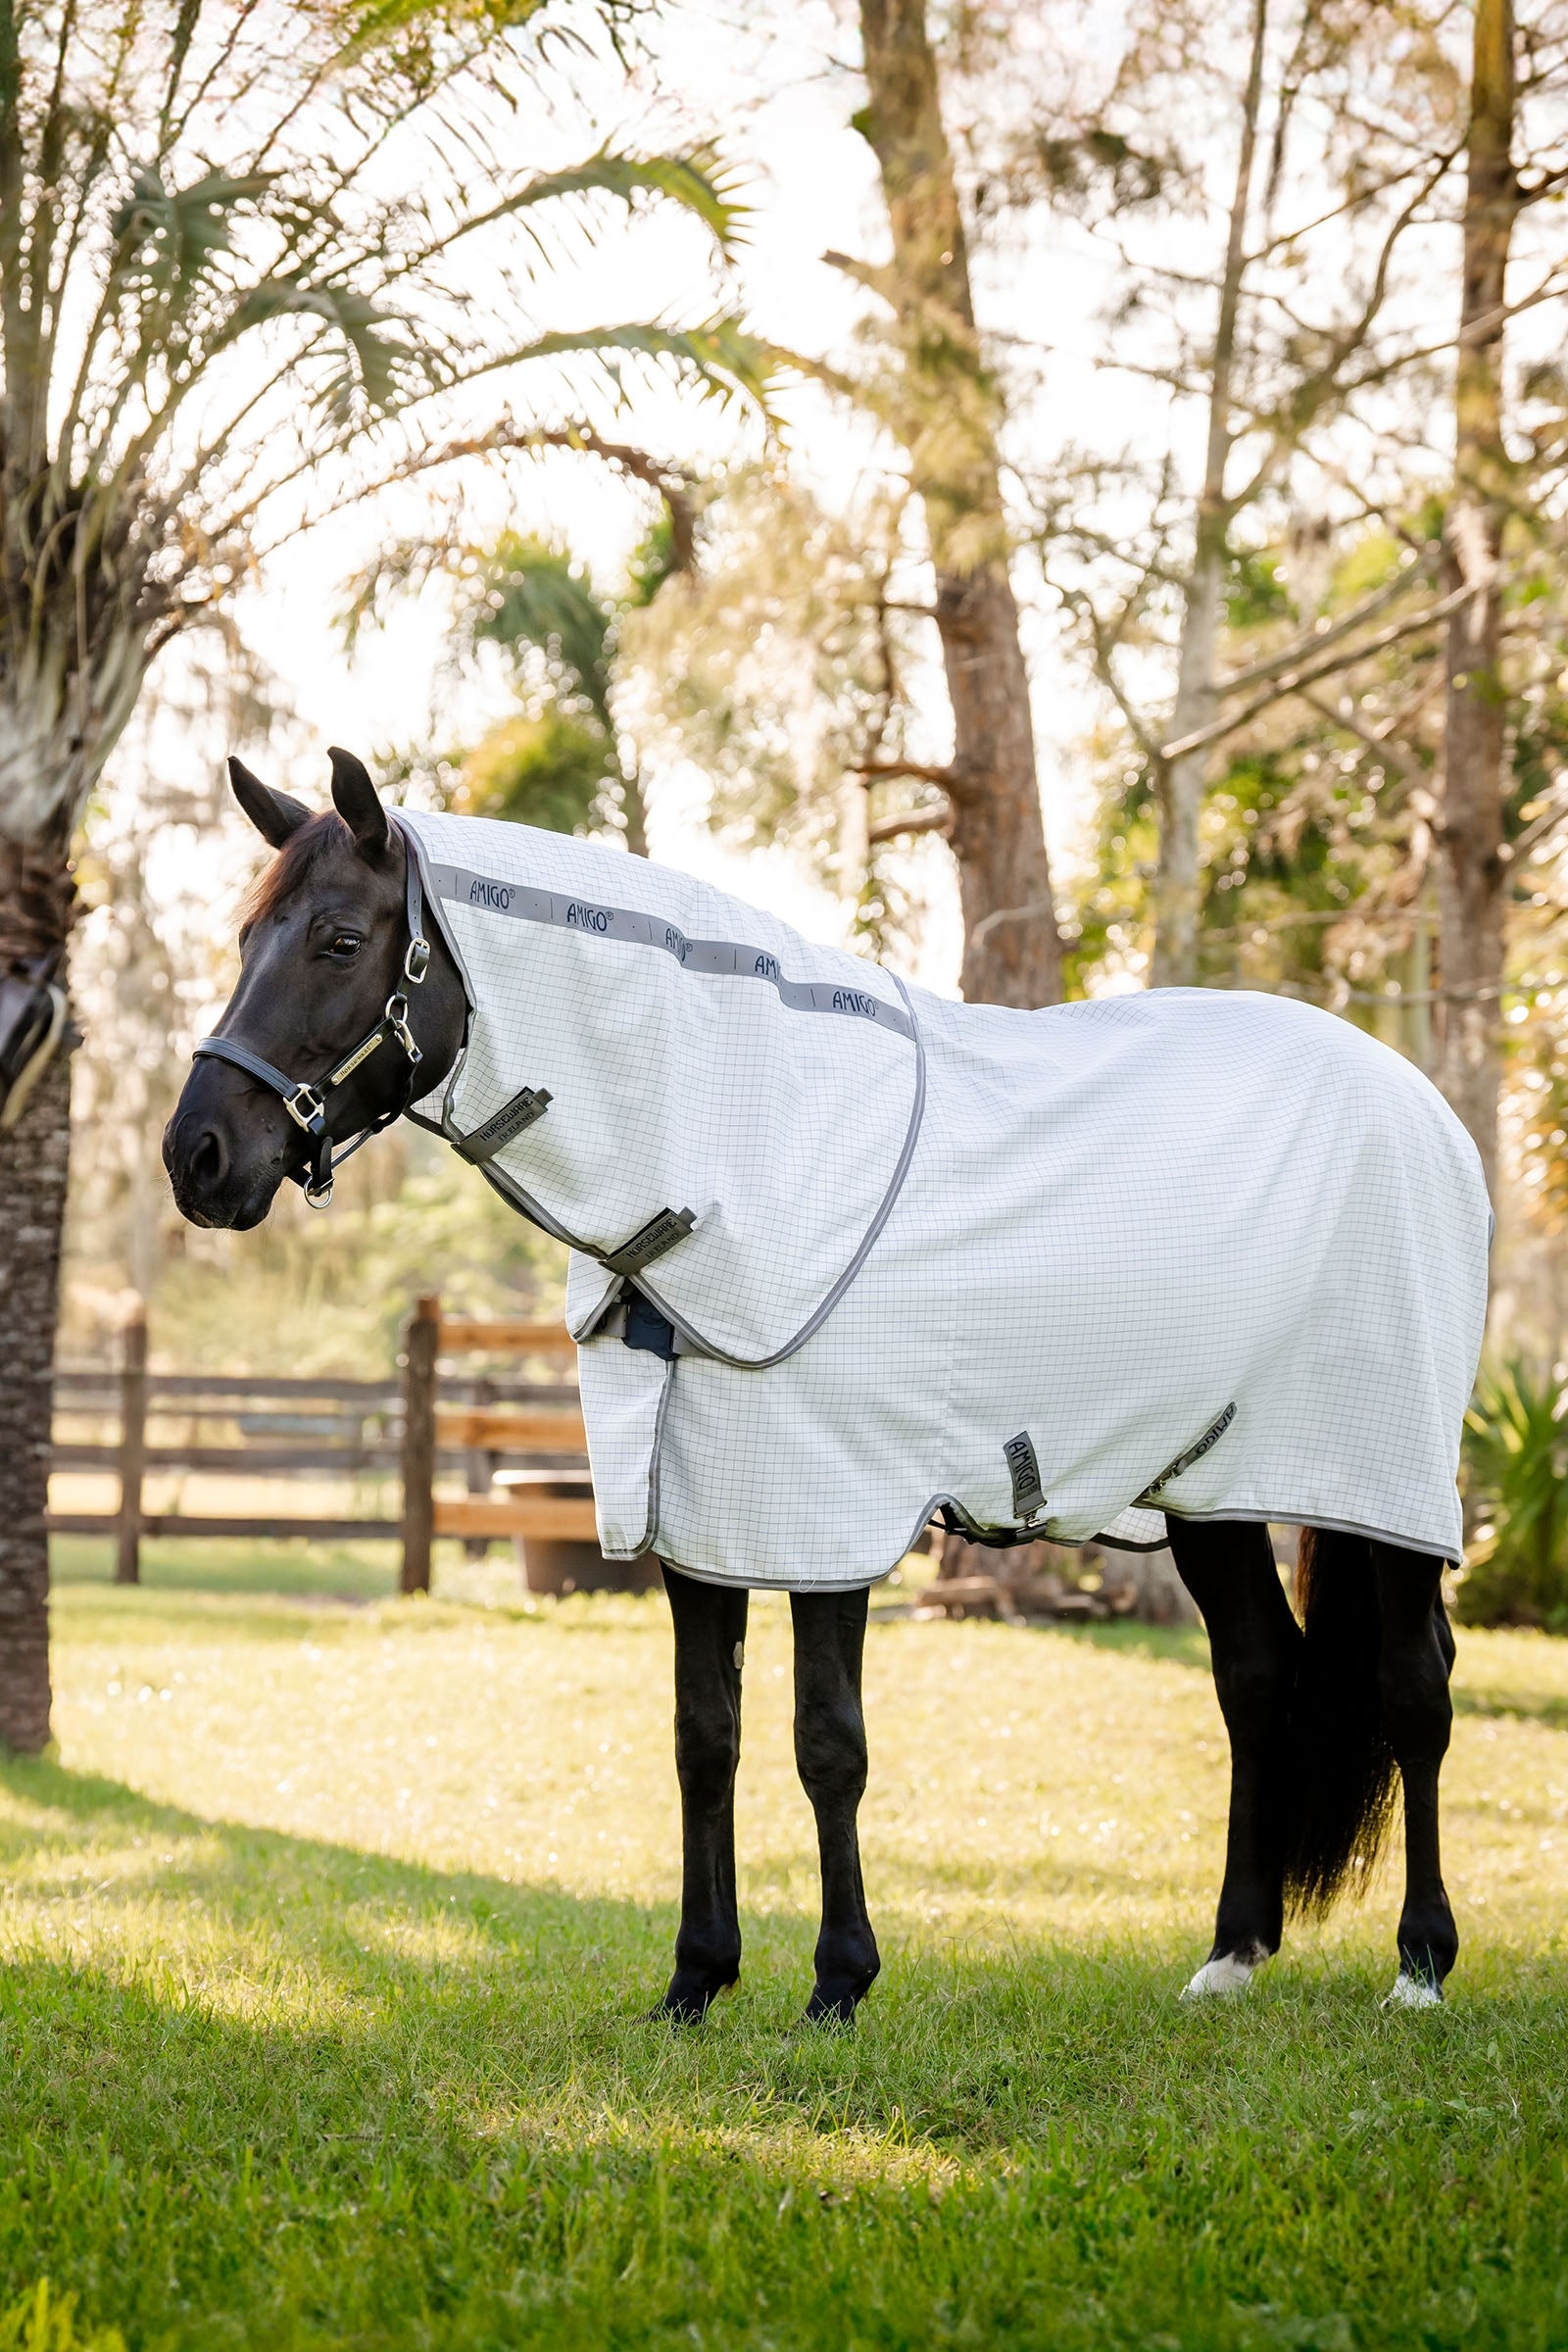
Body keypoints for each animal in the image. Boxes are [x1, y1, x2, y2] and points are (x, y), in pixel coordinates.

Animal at [164, 748, 1488, 2021]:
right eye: (243, 938)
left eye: (341, 939)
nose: (198, 1158)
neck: (747, 1148)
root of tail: (1425, 1109)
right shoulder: (699, 1511)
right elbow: (706, 1737)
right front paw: (696, 1979)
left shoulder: (821, 1508)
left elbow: (825, 1743)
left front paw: (839, 1981)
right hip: (1212, 1487)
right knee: (1257, 1682)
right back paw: (1230, 1957)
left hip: (1383, 1483)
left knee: (1415, 1690)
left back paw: (1419, 1966)